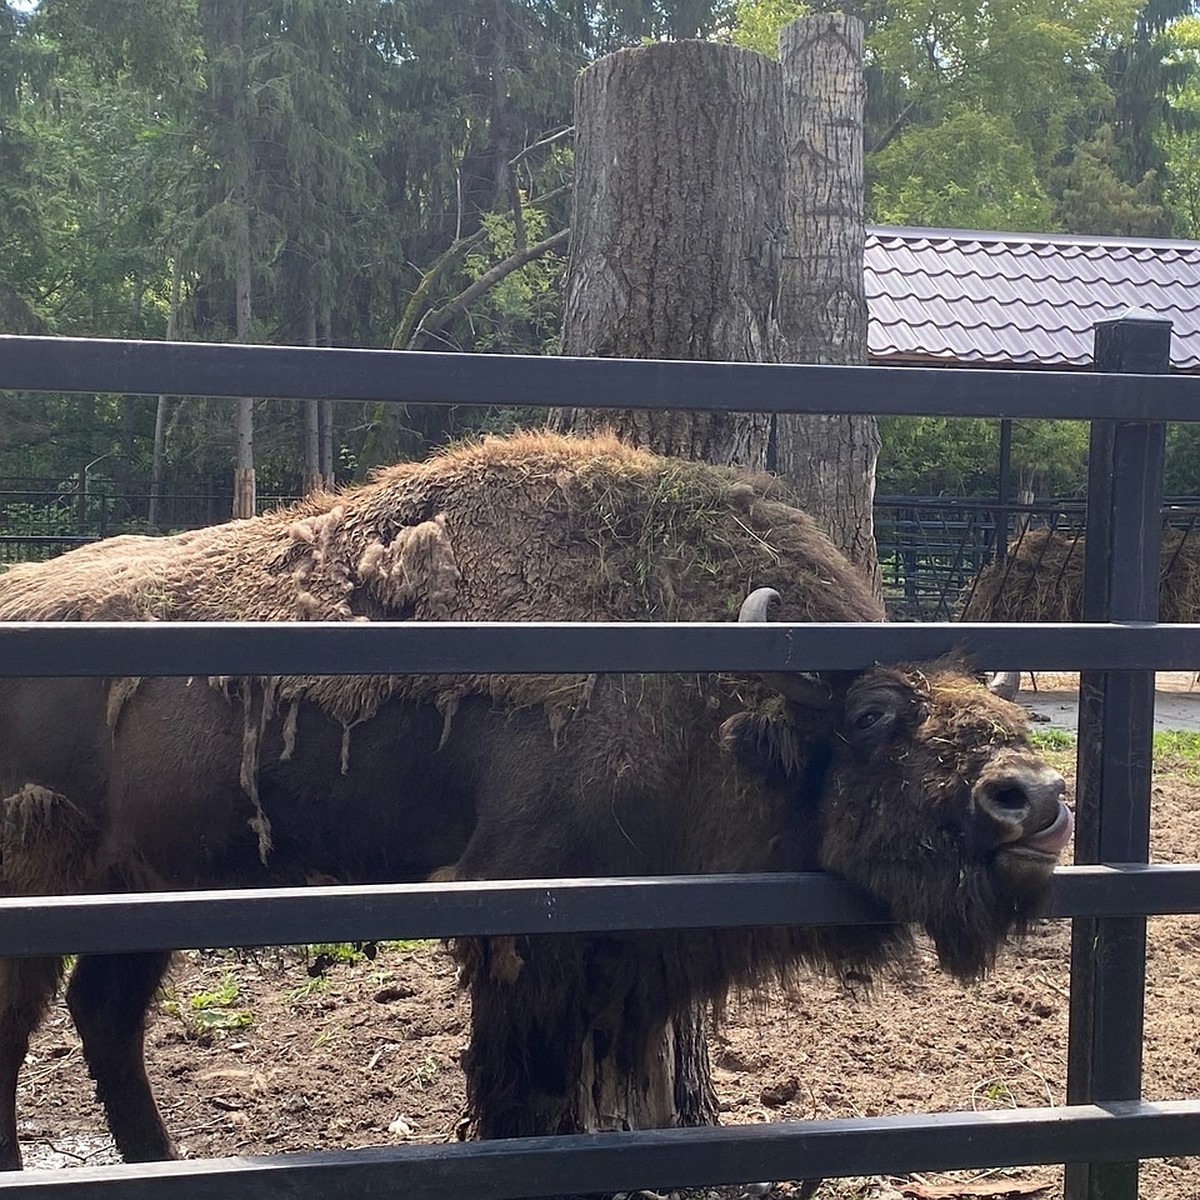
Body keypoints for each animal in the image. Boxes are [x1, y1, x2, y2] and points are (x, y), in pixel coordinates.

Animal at [0, 434, 1070, 1171]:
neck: (717, 698)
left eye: (993, 707)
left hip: (144, 889)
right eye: (874, 713)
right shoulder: (523, 930)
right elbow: (520, 1095)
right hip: (48, 883)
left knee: (106, 1018)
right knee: (30, 1024)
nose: (1033, 800)